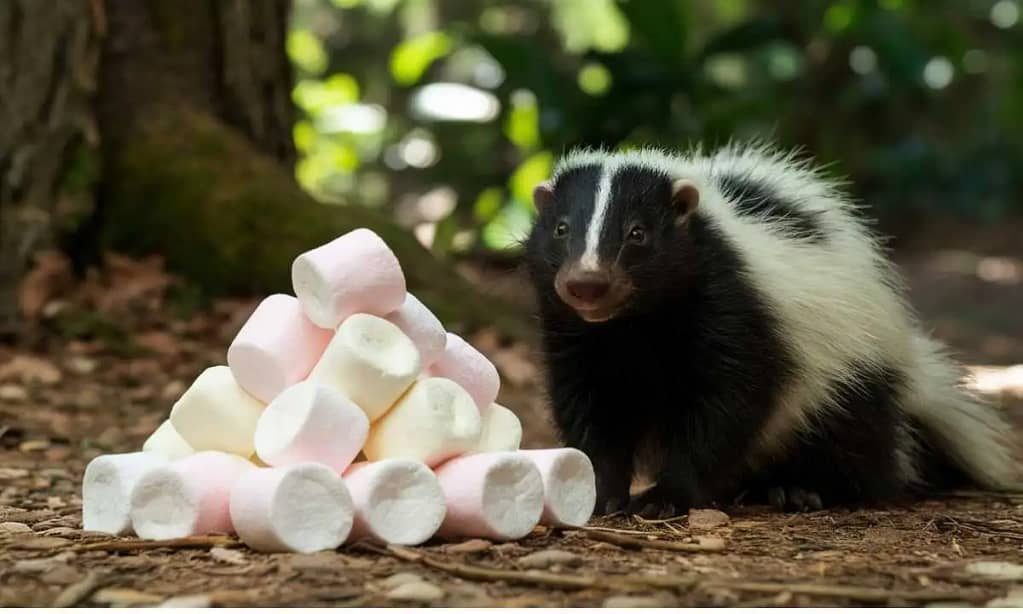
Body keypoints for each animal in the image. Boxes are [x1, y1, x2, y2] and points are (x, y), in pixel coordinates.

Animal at [523, 146, 1018, 515]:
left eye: (637, 233)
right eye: (561, 229)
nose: (587, 282)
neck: (636, 324)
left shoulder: (736, 310)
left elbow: (726, 405)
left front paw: (665, 496)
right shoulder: (577, 337)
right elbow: (590, 408)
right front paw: (599, 492)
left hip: (851, 376)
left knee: (851, 442)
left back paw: (800, 489)